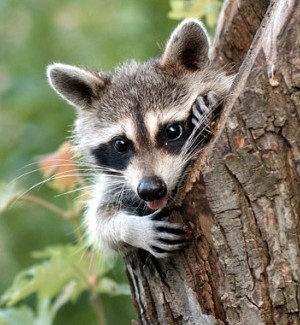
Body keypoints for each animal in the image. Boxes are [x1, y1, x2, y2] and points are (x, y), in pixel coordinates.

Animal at [47, 19, 234, 256]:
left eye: (173, 131)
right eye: (120, 144)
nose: (150, 189)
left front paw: (209, 106)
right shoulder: (118, 183)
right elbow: (99, 221)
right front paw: (131, 229)